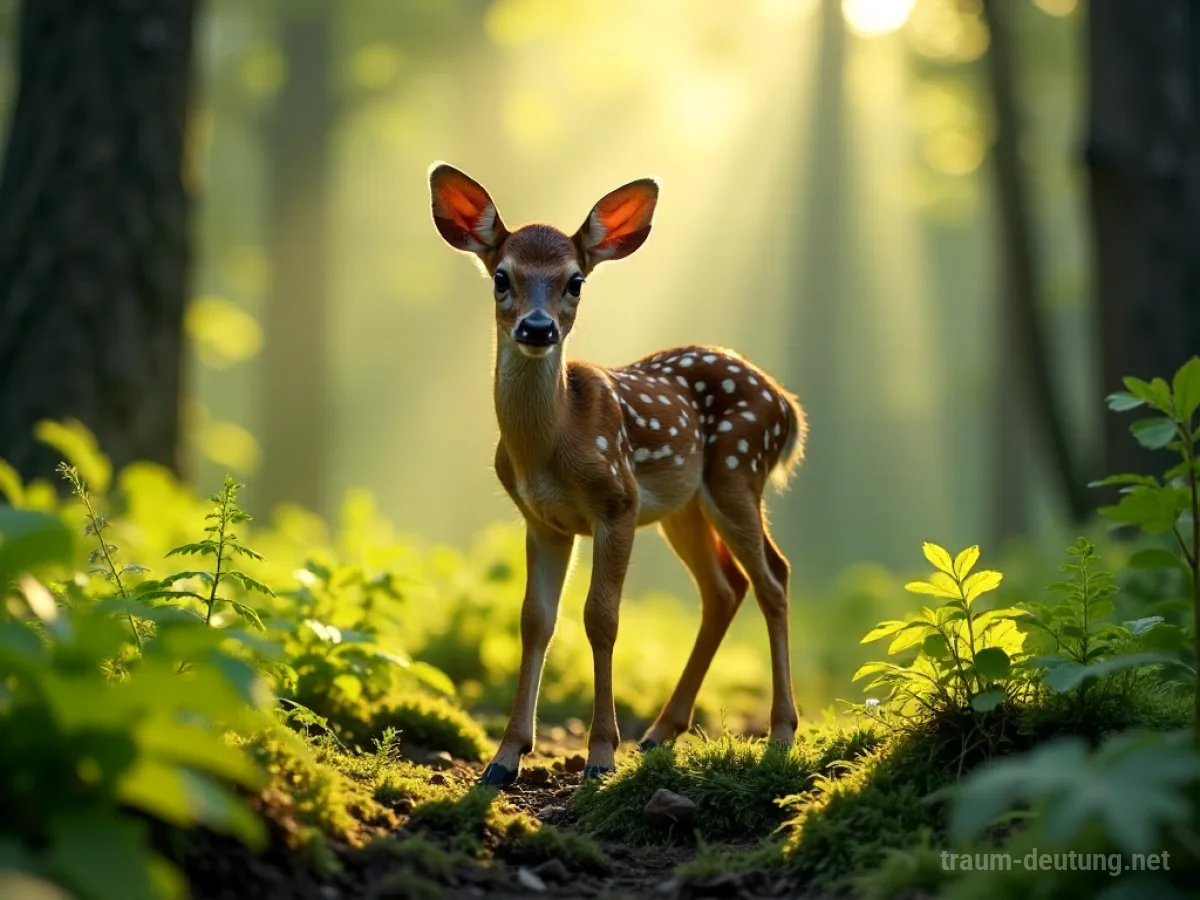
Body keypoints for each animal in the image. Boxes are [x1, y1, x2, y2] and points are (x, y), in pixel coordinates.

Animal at [427, 163, 807, 785]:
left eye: (576, 281)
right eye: (501, 277)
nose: (537, 328)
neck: (553, 441)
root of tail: (788, 407)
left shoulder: (617, 500)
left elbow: (601, 618)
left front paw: (601, 756)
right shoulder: (542, 520)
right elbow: (535, 620)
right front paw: (504, 758)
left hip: (737, 471)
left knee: (773, 576)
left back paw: (779, 734)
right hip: (685, 506)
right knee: (725, 588)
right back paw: (659, 733)